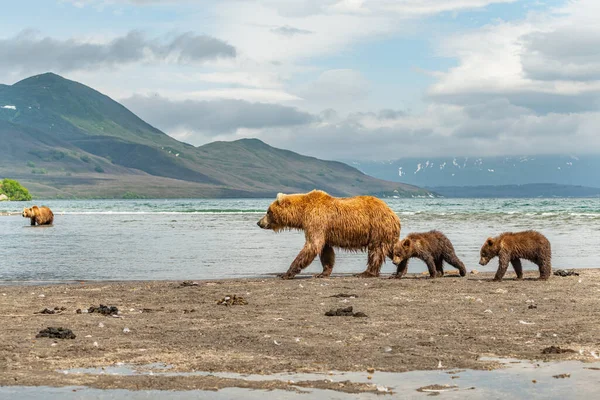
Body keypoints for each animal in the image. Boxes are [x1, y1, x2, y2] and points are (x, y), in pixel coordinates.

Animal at [255, 190, 400, 278]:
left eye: (268, 211)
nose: (259, 222)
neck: (302, 213)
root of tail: (393, 214)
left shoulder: (316, 220)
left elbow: (312, 245)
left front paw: (286, 273)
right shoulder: (324, 230)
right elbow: (325, 251)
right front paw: (323, 272)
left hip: (377, 228)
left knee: (376, 251)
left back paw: (366, 272)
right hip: (386, 233)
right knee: (391, 248)